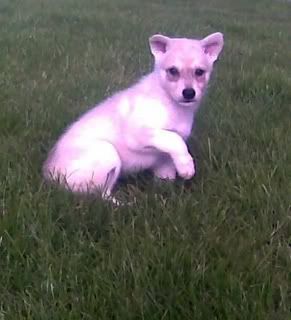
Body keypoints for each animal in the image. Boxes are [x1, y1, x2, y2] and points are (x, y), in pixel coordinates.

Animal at [43, 31, 225, 200]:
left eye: (199, 72)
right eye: (173, 71)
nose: (189, 93)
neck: (172, 105)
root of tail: (48, 175)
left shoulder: (164, 159)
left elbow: (167, 173)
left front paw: (165, 194)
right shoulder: (139, 133)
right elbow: (174, 140)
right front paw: (187, 168)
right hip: (107, 153)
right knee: (99, 195)